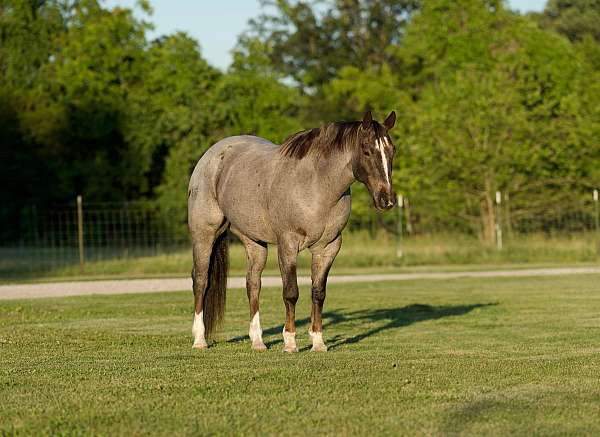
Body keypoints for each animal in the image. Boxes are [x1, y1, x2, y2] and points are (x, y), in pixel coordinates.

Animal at [185, 110, 396, 352]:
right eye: (367, 150)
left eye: (392, 150)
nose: (387, 200)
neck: (317, 185)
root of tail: (211, 155)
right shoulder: (288, 244)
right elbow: (291, 292)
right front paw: (290, 342)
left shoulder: (328, 247)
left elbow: (318, 292)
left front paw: (318, 342)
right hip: (204, 235)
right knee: (201, 280)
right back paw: (200, 339)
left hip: (254, 242)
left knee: (253, 284)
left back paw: (258, 341)